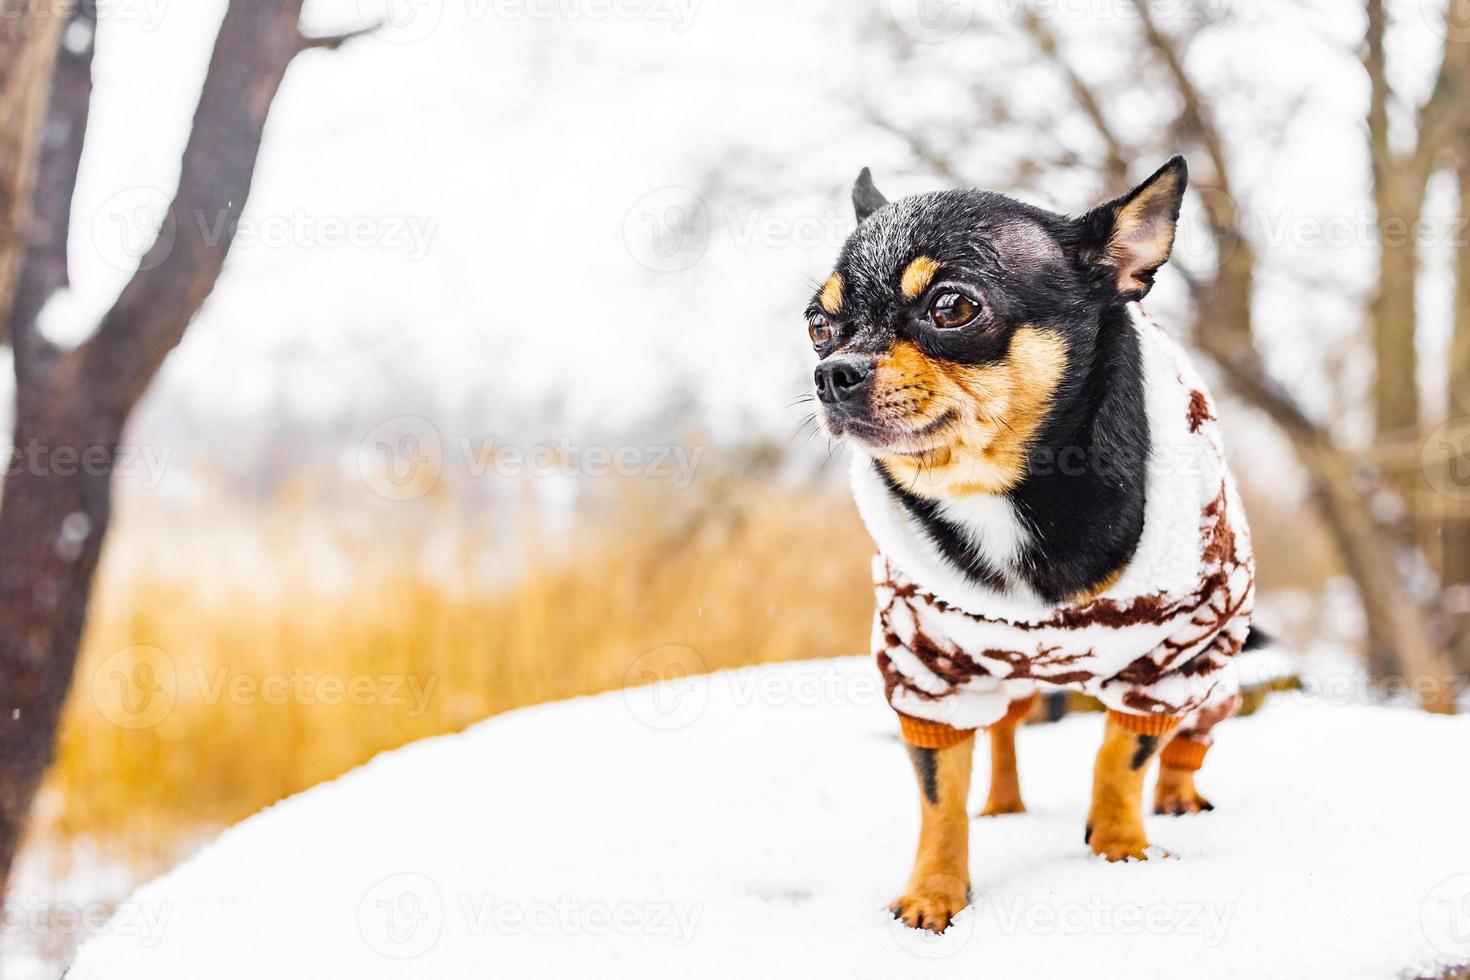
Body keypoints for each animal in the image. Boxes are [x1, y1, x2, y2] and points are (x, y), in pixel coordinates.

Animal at [811, 159, 1258, 934]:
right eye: (816, 324)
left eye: (952, 307)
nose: (832, 370)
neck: (997, 494)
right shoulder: (931, 673)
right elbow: (939, 796)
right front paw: (934, 891)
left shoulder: (1170, 663)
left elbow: (1123, 757)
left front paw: (1120, 849)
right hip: (1006, 679)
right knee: (1005, 732)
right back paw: (1003, 803)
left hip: (1213, 676)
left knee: (1185, 740)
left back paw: (1175, 794)